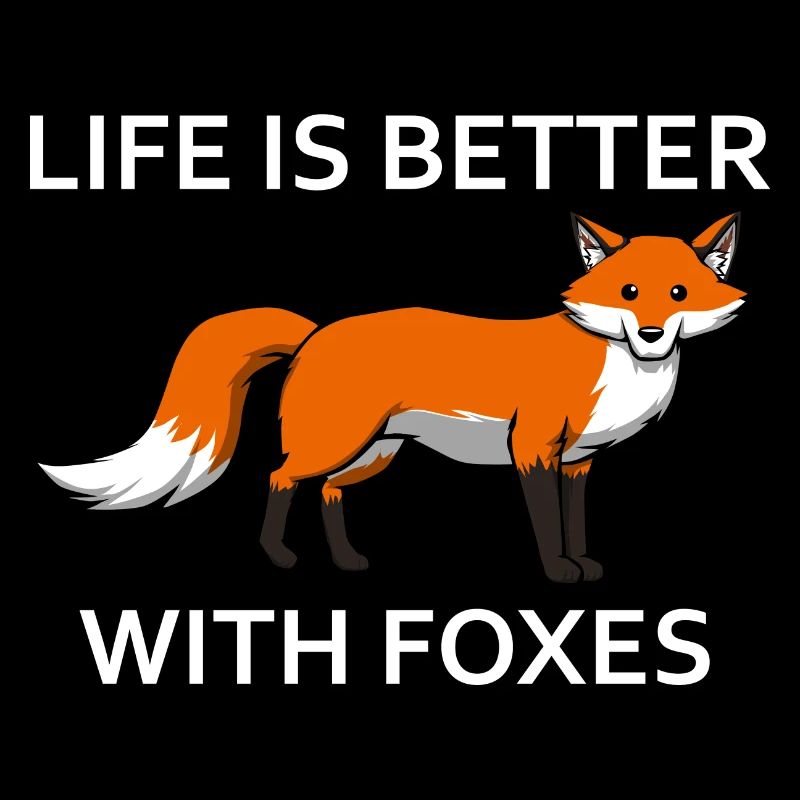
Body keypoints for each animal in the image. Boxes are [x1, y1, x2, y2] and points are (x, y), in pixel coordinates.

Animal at [40, 213, 745, 582]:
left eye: (678, 294)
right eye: (628, 292)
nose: (650, 334)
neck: (618, 369)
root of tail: (316, 332)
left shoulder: (579, 462)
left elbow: (575, 519)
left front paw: (584, 563)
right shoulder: (532, 449)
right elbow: (547, 524)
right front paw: (556, 571)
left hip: (376, 454)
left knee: (327, 492)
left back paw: (348, 560)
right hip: (336, 441)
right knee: (281, 477)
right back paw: (278, 556)